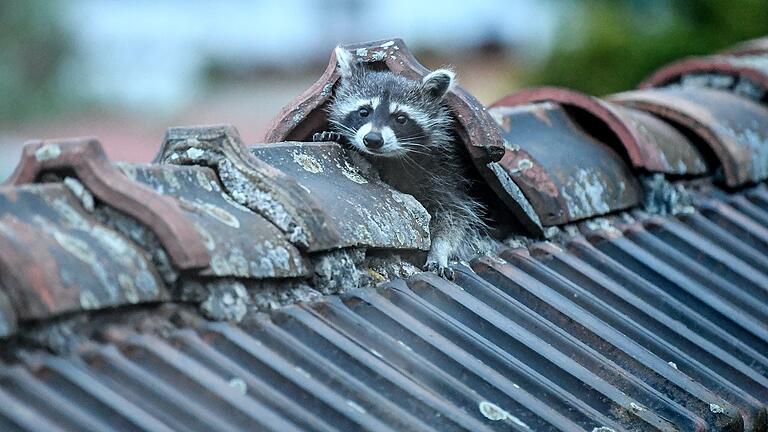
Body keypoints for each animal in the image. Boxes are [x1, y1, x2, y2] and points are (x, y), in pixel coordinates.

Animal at [312, 46, 486, 276]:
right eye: (364, 111)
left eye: (401, 118)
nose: (373, 140)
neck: (388, 157)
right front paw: (335, 136)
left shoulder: (444, 173)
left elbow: (454, 217)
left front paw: (440, 249)